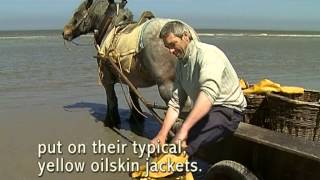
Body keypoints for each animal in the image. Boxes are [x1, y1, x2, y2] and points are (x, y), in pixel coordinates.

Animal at [62, 0, 195, 127]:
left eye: (76, 14)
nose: (64, 32)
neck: (110, 27)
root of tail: (188, 33)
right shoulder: (132, 78)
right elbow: (133, 96)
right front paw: (136, 118)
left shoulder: (106, 79)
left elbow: (111, 99)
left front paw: (111, 121)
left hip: (167, 85)